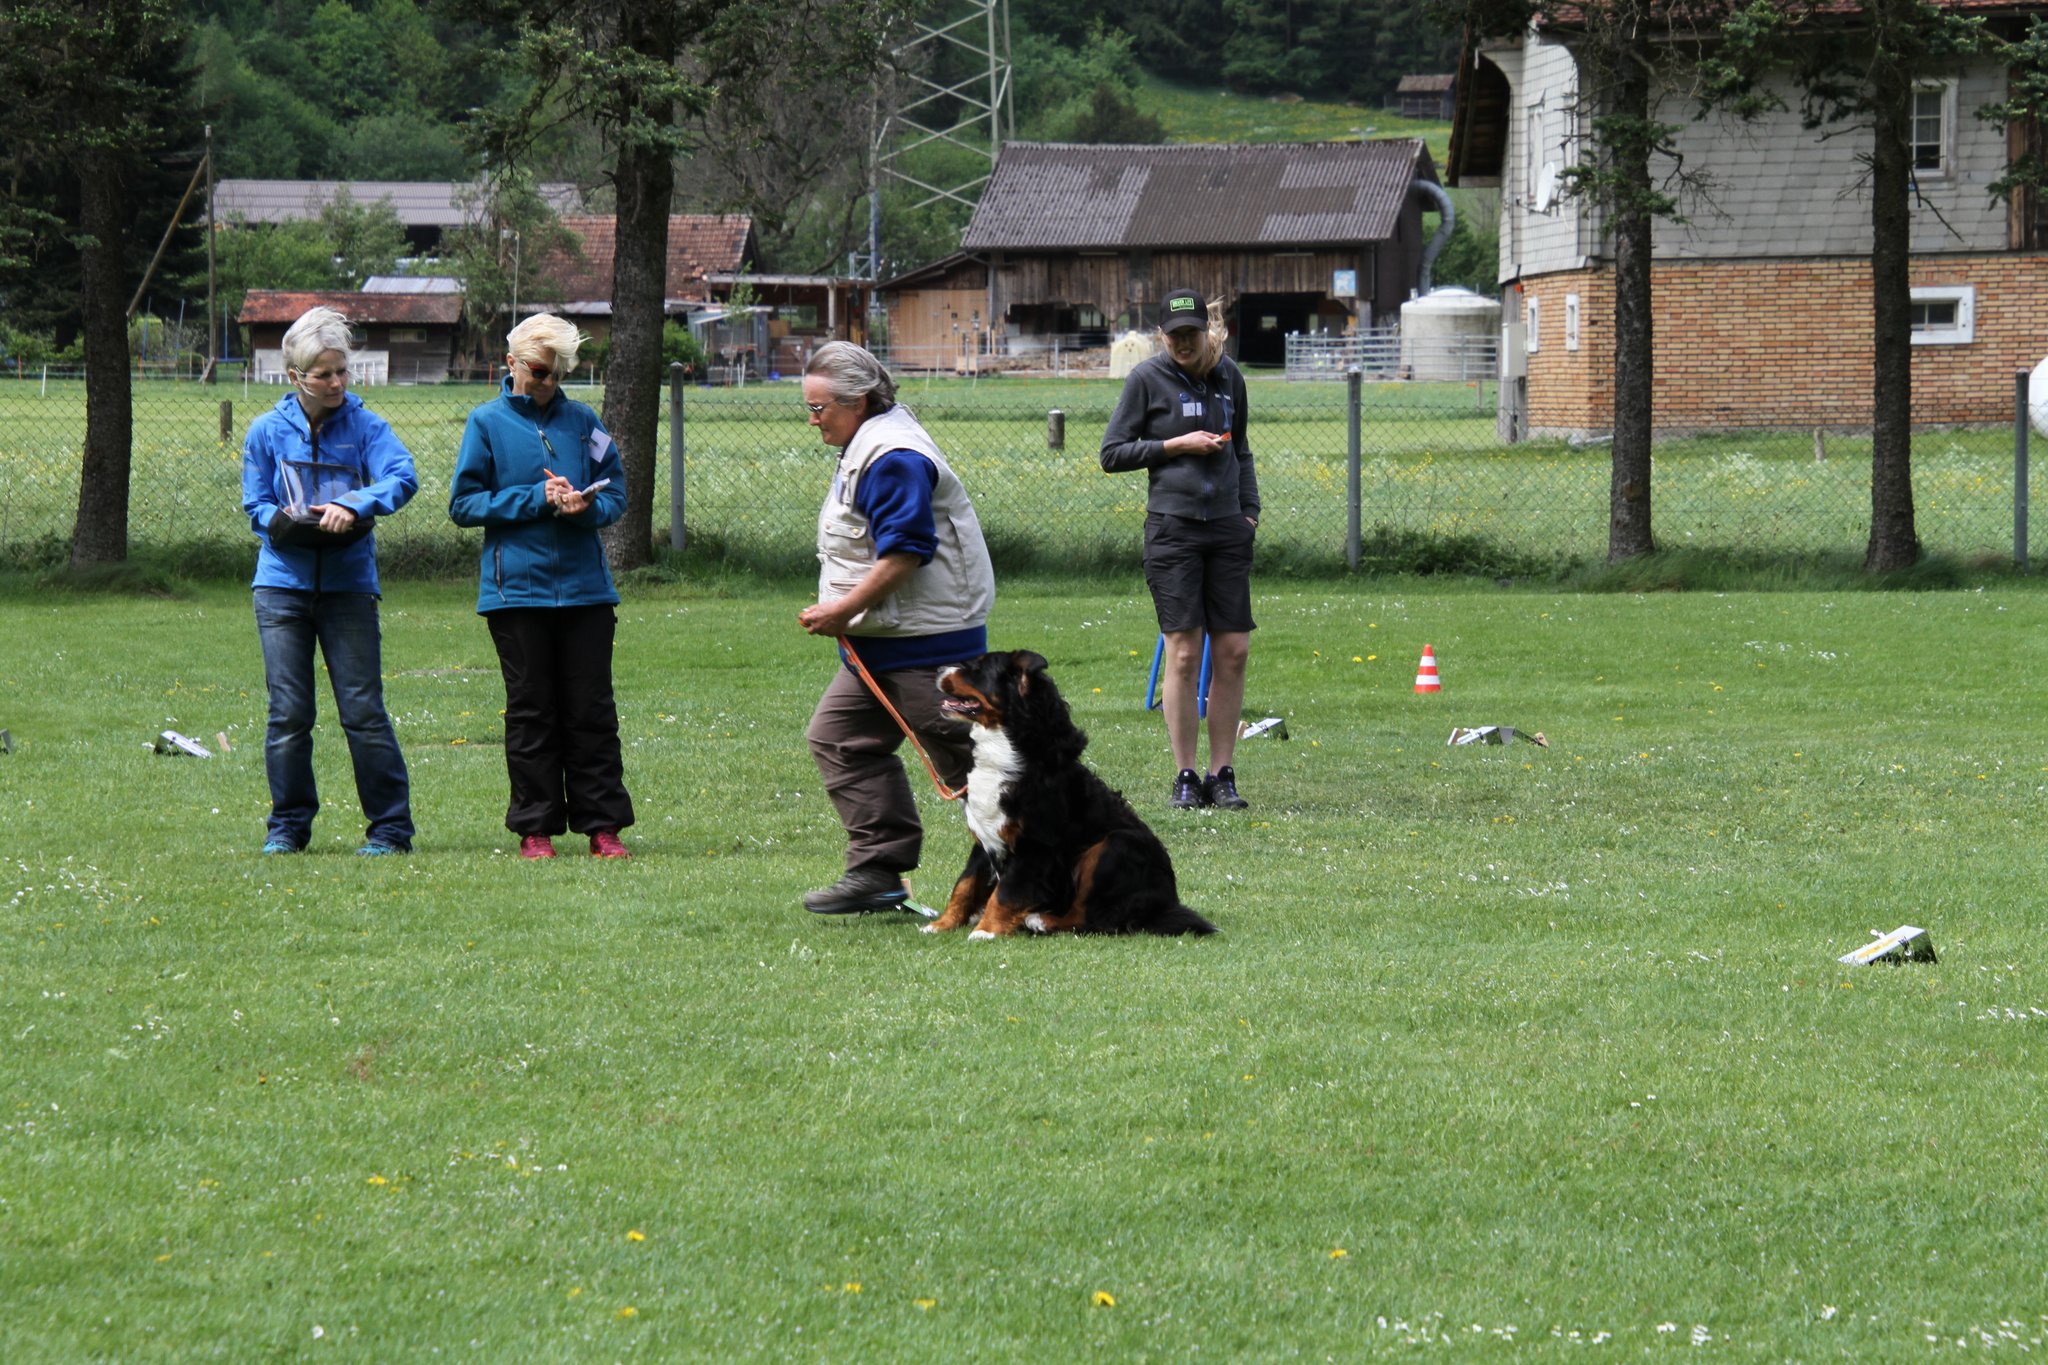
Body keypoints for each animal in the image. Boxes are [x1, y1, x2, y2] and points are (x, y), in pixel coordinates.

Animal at [928, 650, 1217, 939]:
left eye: (977, 668)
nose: (938, 669)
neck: (1005, 752)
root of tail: (1164, 904)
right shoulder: (986, 839)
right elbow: (964, 885)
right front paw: (941, 924)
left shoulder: (1034, 846)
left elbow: (1005, 893)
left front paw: (985, 931)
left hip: (1112, 845)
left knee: (1092, 918)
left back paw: (1041, 921)